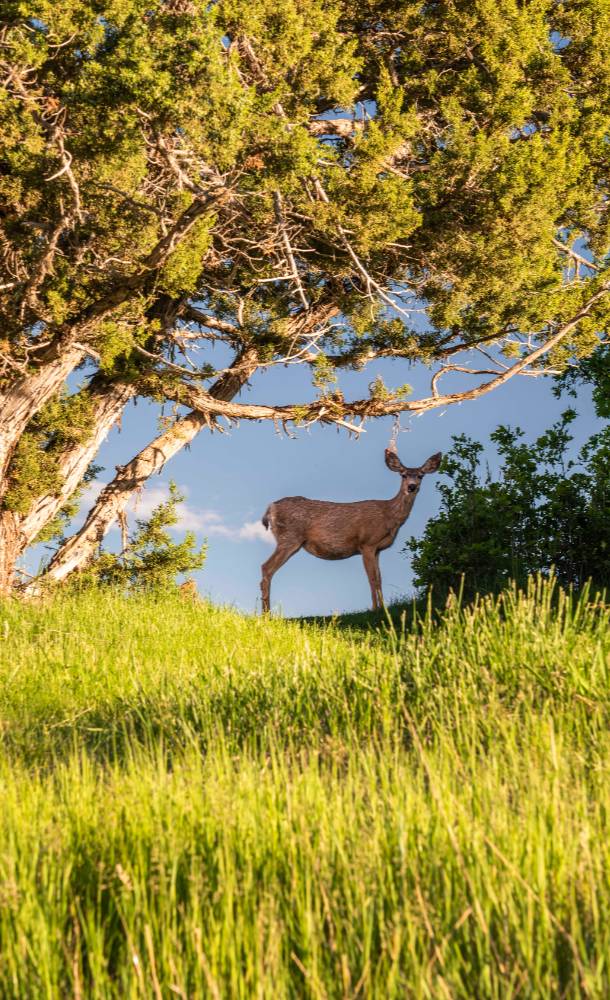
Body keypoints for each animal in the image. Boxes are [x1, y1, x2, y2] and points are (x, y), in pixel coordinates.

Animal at [260, 445, 442, 612]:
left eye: (421, 475)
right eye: (403, 475)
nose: (411, 487)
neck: (389, 516)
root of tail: (270, 507)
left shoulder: (378, 549)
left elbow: (380, 578)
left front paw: (383, 608)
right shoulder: (367, 543)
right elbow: (372, 578)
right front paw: (375, 609)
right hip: (289, 537)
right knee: (266, 567)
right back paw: (267, 614)